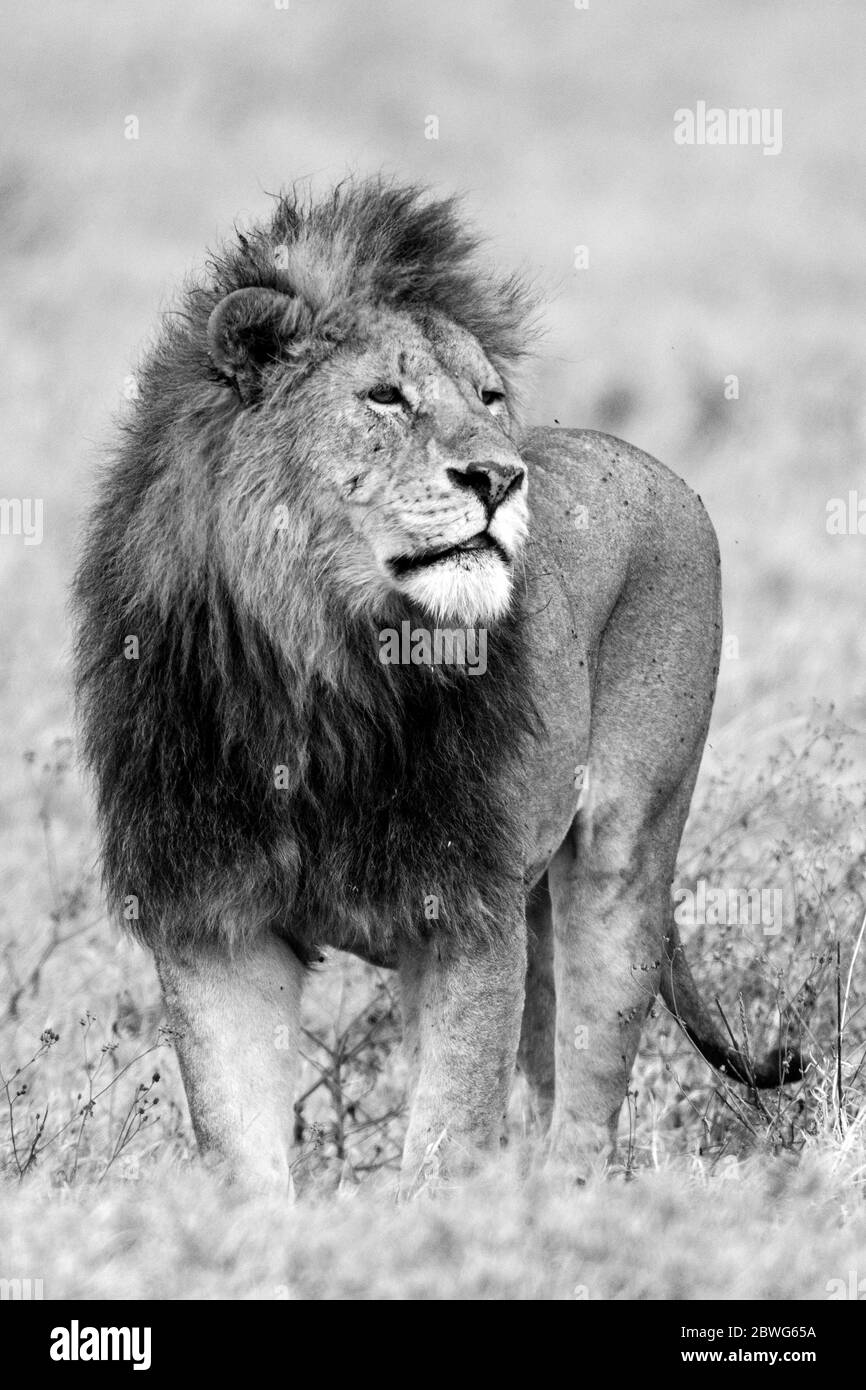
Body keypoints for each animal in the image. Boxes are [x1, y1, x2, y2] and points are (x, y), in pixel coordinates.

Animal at [73, 178, 801, 1191]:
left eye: (488, 397)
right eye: (386, 396)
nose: (500, 474)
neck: (323, 666)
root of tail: (652, 467)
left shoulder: (465, 912)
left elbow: (446, 1138)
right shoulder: (213, 921)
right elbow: (242, 1151)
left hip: (624, 856)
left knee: (586, 1096)